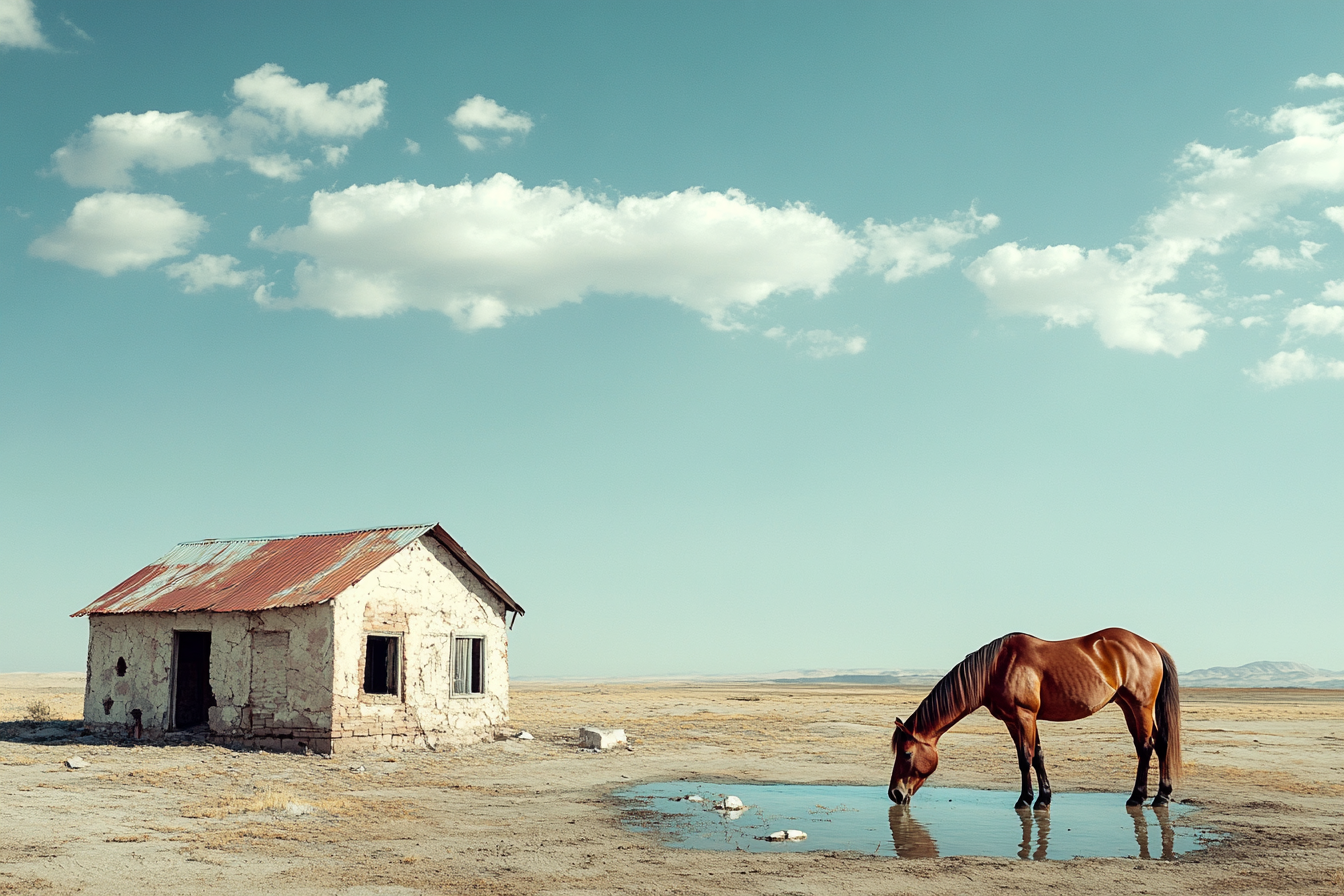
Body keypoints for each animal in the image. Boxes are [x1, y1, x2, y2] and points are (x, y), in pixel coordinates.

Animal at [887, 631, 1182, 811]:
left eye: (907, 753)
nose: (895, 794)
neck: (996, 667)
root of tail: (1149, 645)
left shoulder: (1024, 715)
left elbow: (1025, 758)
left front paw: (1024, 800)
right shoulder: (1016, 720)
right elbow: (1037, 755)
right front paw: (1044, 799)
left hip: (1140, 707)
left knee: (1145, 747)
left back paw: (1138, 797)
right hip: (1127, 706)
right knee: (1159, 743)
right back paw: (1162, 796)